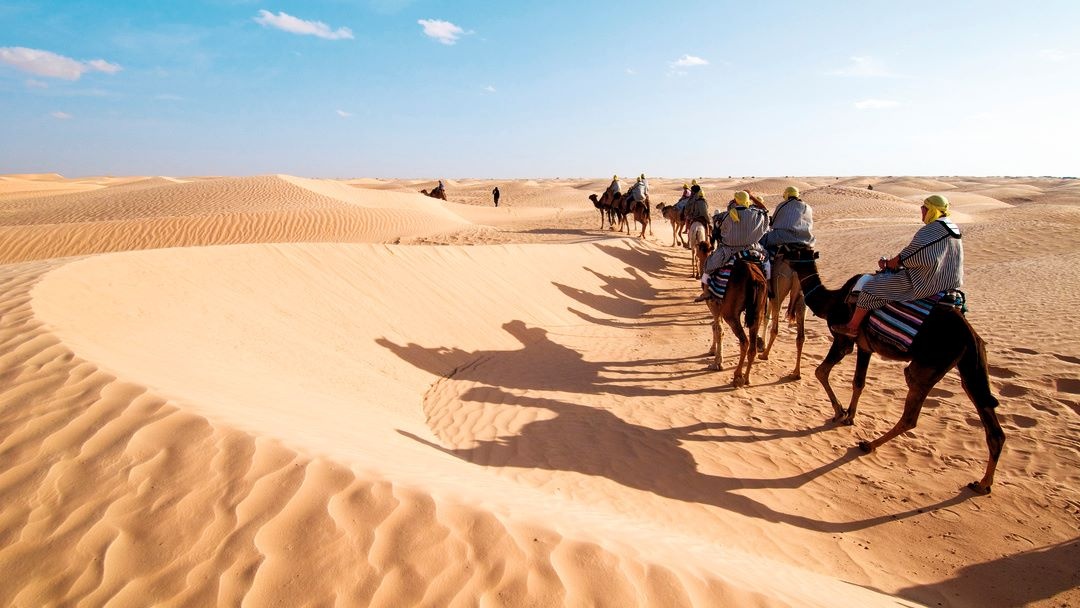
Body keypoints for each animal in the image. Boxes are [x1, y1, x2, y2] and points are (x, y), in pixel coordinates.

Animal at [699, 259, 768, 388]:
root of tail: (754, 278)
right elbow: (715, 326)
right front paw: (713, 352)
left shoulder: (713, 303)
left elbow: (718, 328)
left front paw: (717, 363)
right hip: (758, 313)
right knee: (752, 347)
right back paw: (747, 378)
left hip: (731, 314)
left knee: (744, 341)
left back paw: (737, 377)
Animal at [756, 249, 807, 377]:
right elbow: (765, 318)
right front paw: (761, 343)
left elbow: (763, 317)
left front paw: (760, 343)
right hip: (801, 295)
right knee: (800, 336)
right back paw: (796, 372)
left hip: (778, 289)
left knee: (775, 328)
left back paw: (764, 355)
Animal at [786, 246, 1002, 494]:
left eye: (792, 249)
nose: (778, 251)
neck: (832, 300)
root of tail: (971, 335)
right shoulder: (864, 346)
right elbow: (858, 382)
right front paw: (849, 416)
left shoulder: (844, 340)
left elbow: (820, 372)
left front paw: (840, 412)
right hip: (970, 364)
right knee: (990, 419)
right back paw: (983, 483)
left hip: (927, 365)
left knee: (911, 414)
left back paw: (868, 444)